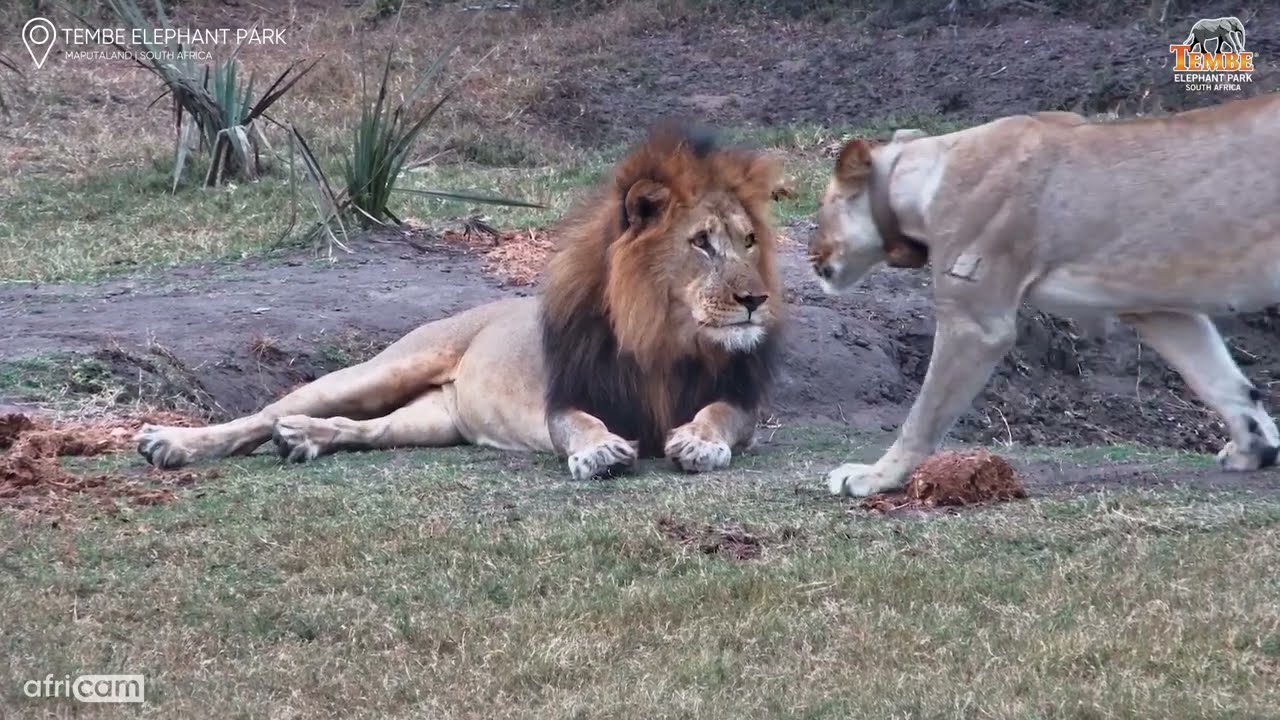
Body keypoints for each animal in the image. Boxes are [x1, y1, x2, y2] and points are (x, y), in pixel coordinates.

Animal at [136, 124, 784, 480]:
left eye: (749, 241)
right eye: (701, 243)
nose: (756, 299)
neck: (665, 335)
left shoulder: (740, 401)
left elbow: (718, 415)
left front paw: (698, 441)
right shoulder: (565, 400)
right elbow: (582, 424)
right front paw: (601, 452)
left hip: (433, 419)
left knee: (363, 428)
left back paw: (305, 439)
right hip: (384, 367)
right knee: (266, 412)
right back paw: (171, 443)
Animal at [808, 93, 1280, 498]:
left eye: (822, 207)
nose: (812, 255)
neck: (918, 177)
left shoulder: (975, 323)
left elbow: (923, 415)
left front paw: (874, 476)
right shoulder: (1157, 309)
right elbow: (1221, 381)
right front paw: (1254, 449)